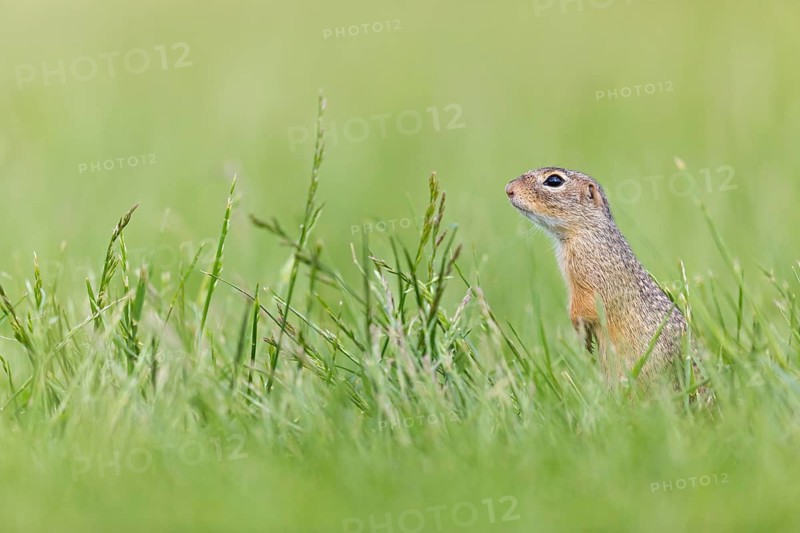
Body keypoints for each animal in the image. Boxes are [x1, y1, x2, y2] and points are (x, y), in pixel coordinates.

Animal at [505, 166, 689, 385]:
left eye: (554, 181)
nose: (508, 189)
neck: (588, 231)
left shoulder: (589, 275)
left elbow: (585, 306)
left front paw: (583, 338)